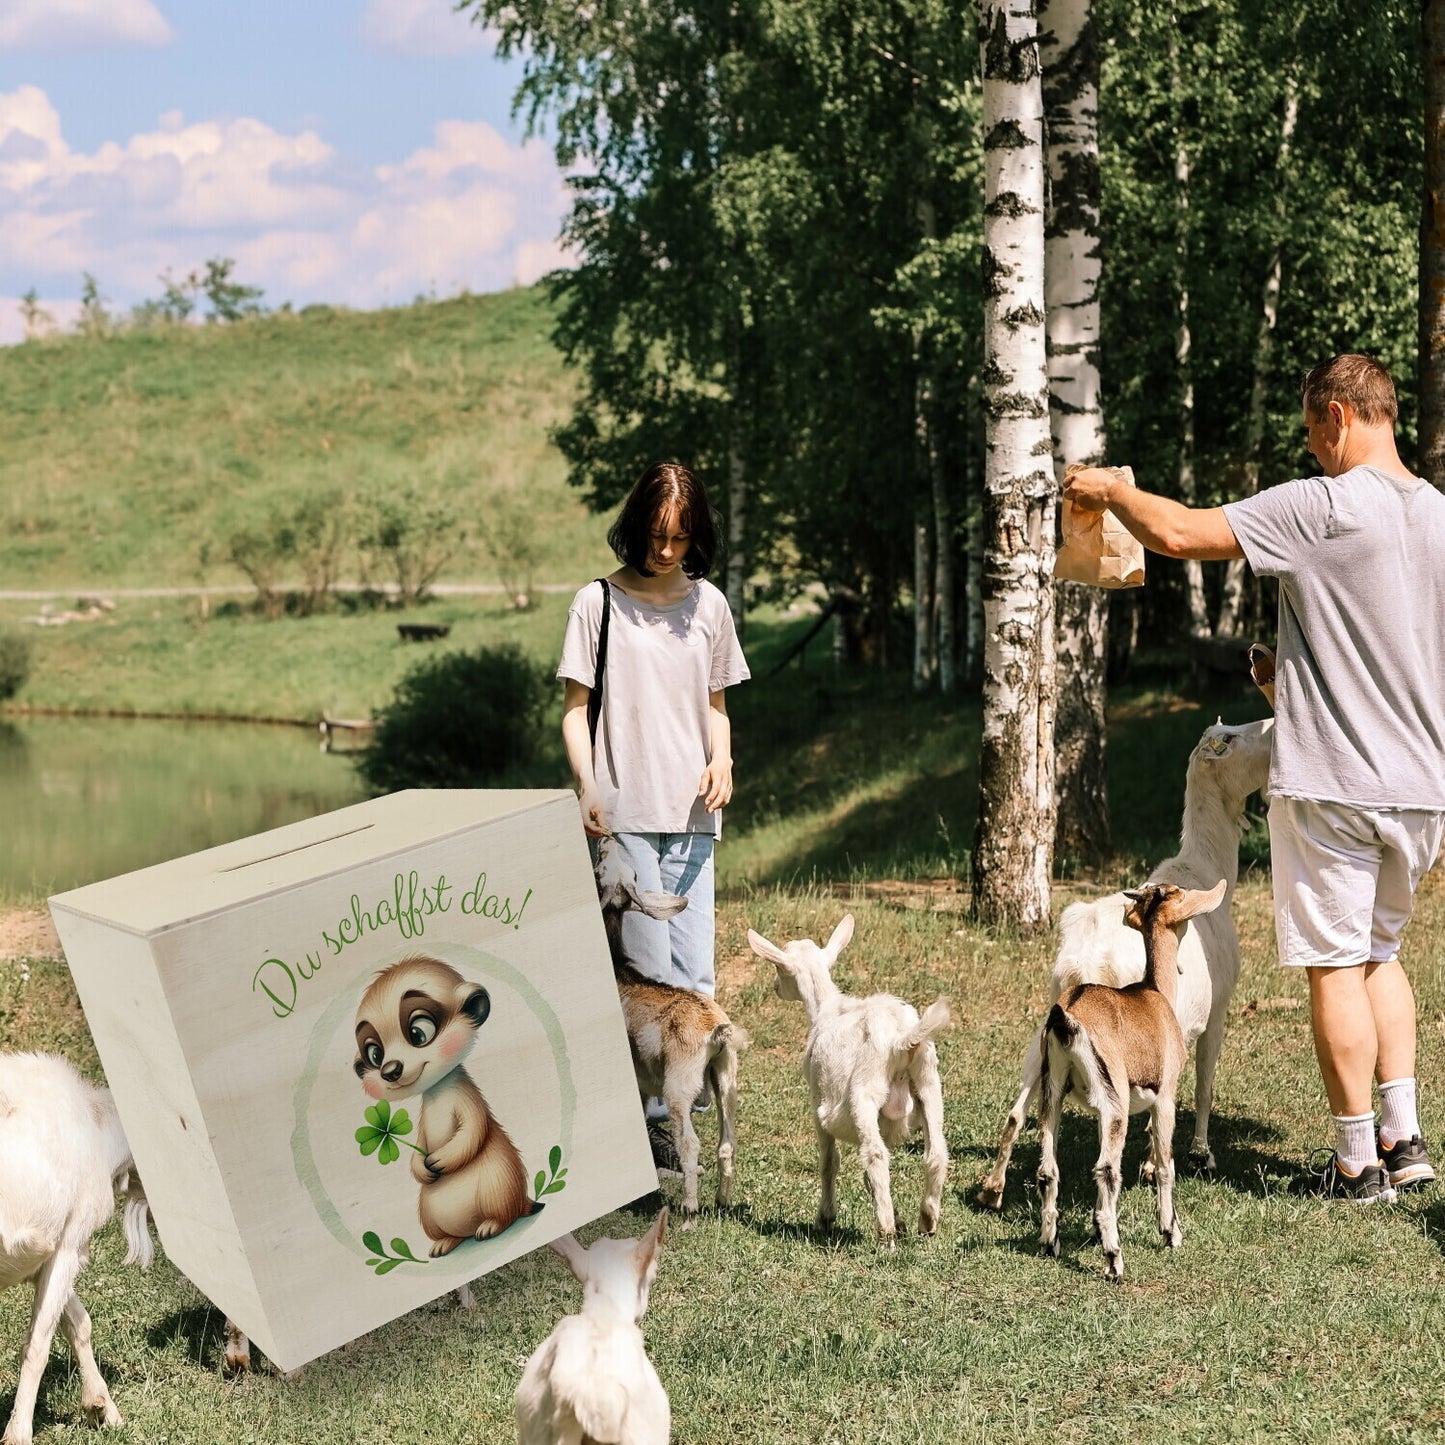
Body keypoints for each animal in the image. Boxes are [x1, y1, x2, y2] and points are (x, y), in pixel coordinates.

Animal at [0, 1051, 152, 1445]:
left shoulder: (47, 1256)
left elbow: (78, 1321)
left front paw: (102, 1408)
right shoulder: (69, 1243)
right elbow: (37, 1345)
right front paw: (19, 1433)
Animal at [751, 913, 953, 1242]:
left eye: (779, 968)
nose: (775, 987)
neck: (826, 1008)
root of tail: (901, 1040)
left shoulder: (817, 1101)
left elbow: (829, 1162)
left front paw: (825, 1218)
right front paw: (899, 1219)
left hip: (864, 1096)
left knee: (876, 1156)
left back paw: (886, 1235)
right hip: (929, 1084)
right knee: (935, 1153)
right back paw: (926, 1221)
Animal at [976, 713, 1271, 1208]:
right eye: (1229, 738)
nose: (1271, 722)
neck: (1205, 870)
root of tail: (1085, 959)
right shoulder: (1215, 1013)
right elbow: (1204, 1086)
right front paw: (1196, 1156)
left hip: (1043, 1036)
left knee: (1019, 1109)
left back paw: (992, 1188)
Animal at [1034, 872, 1225, 1283]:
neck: (1153, 993)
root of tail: (1066, 1018)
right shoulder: (1165, 1096)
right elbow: (1165, 1164)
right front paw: (1171, 1233)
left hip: (1052, 1092)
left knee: (1048, 1169)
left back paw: (1049, 1243)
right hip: (1115, 1101)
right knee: (1107, 1169)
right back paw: (1114, 1261)